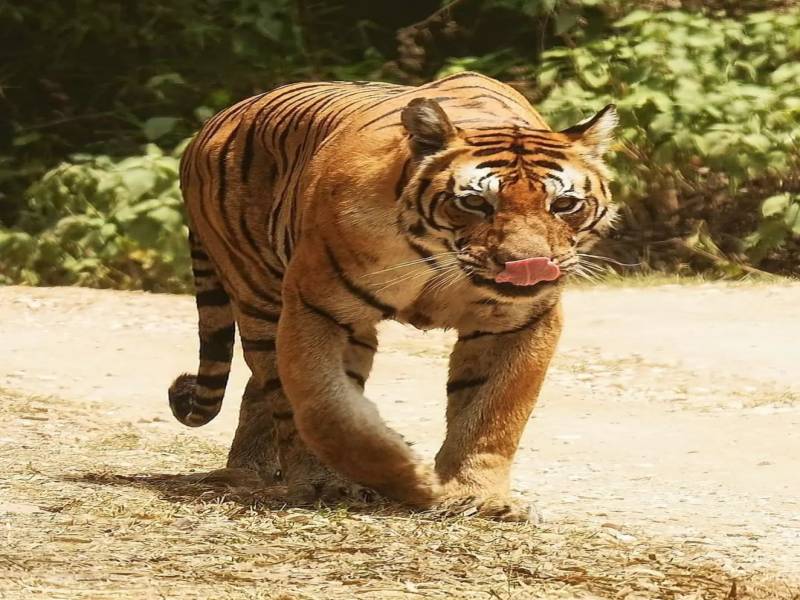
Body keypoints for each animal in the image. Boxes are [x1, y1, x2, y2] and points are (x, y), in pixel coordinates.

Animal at [168, 71, 617, 521]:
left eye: (564, 204)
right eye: (474, 202)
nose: (529, 265)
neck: (442, 262)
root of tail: (212, 123)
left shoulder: (519, 322)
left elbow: (493, 413)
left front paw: (480, 497)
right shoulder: (319, 308)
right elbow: (326, 411)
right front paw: (399, 476)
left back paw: (252, 469)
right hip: (258, 297)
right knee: (277, 389)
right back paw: (295, 477)